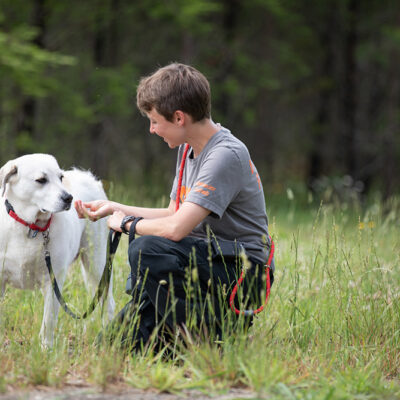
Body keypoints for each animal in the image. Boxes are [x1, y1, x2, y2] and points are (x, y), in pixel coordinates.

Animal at [0, 153, 115, 346]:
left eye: (61, 178)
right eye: (41, 180)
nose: (69, 198)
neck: (29, 226)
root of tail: (88, 177)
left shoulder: (54, 280)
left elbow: (48, 321)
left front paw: (46, 349)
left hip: (96, 264)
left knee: (107, 302)